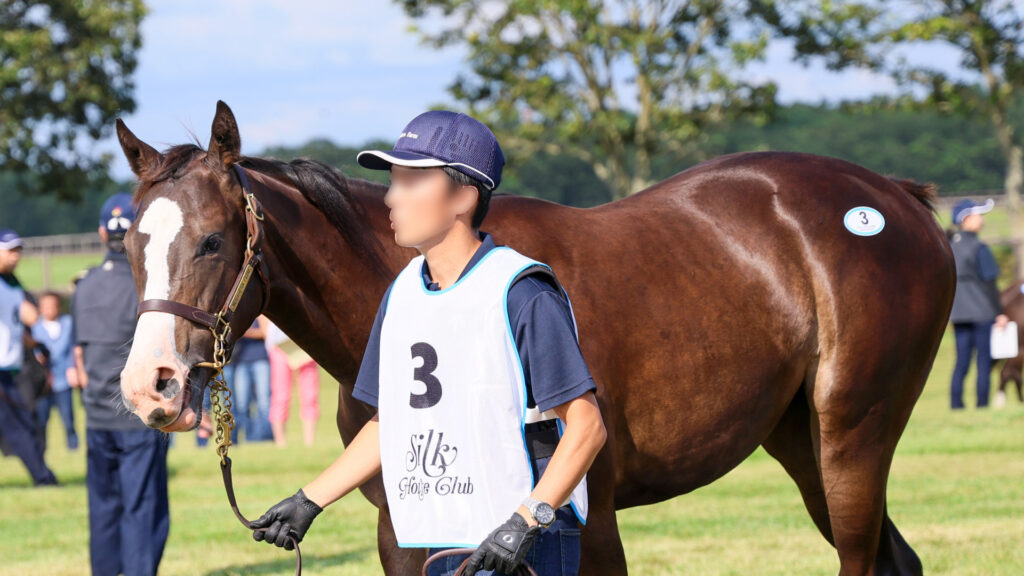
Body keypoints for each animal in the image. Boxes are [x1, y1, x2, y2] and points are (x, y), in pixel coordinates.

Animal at [116, 101, 954, 575]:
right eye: (128, 243)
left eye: (214, 240)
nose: (148, 386)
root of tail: (892, 195)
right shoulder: (407, 533)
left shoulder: (589, 527)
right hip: (799, 440)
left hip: (852, 436)